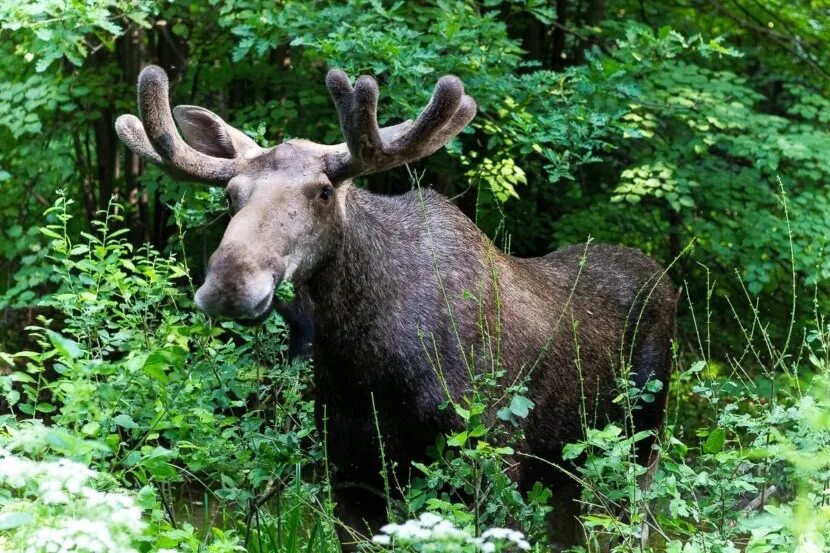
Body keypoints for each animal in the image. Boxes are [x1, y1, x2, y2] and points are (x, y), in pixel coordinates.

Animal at [115, 67, 676, 544]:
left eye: (324, 191)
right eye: (232, 194)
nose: (230, 284)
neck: (366, 365)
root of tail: (664, 276)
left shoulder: (491, 463)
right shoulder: (351, 479)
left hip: (640, 443)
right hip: (566, 468)